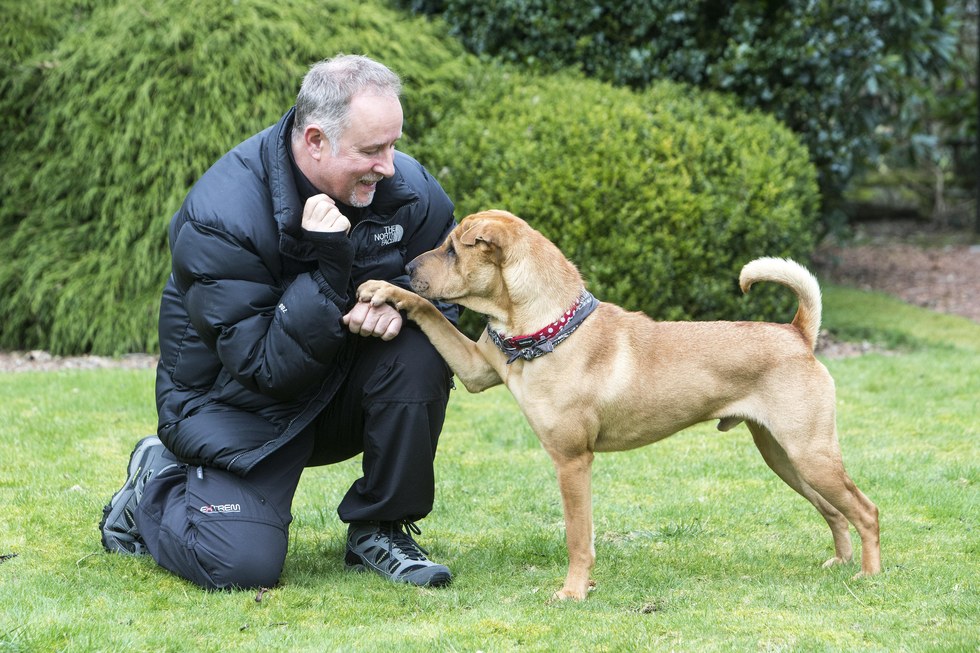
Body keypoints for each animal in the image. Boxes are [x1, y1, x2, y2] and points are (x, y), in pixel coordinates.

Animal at [358, 210, 880, 600]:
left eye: (453, 249)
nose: (408, 269)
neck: (549, 327)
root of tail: (798, 334)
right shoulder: (474, 369)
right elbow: (426, 312)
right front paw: (383, 291)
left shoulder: (572, 461)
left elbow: (576, 537)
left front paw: (572, 592)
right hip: (784, 456)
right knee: (836, 512)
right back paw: (839, 562)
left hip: (810, 454)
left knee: (866, 510)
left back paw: (868, 576)